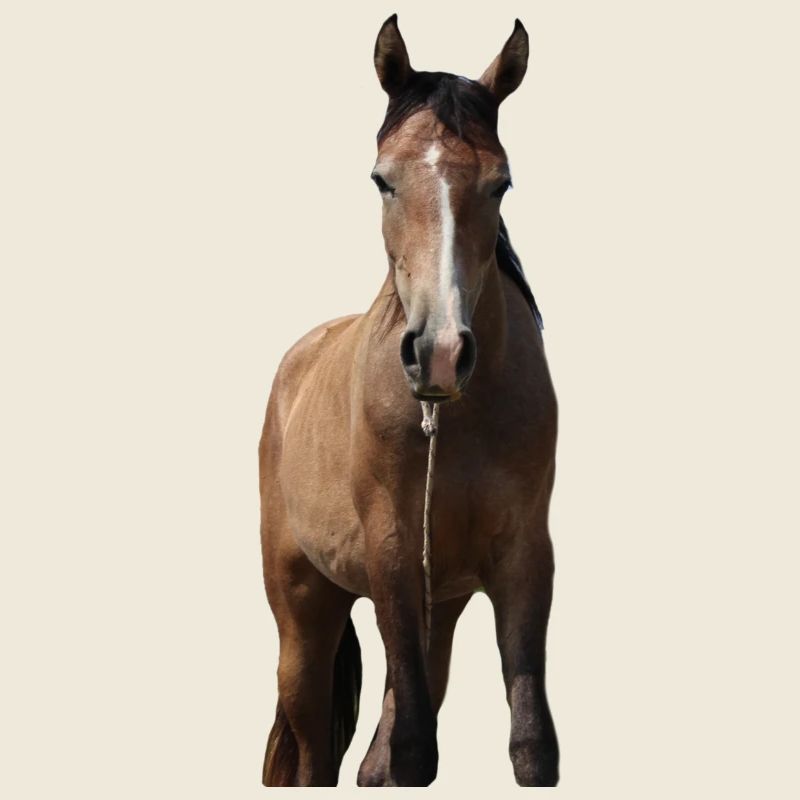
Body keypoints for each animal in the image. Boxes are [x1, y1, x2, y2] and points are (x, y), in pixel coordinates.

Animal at [258, 15, 559, 787]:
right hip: (304, 613)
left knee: (375, 755)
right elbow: (417, 748)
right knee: (314, 754)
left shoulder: (523, 559)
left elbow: (529, 744)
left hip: (439, 608)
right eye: (381, 180)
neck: (458, 419)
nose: (441, 350)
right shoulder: (390, 556)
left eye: (500, 183)